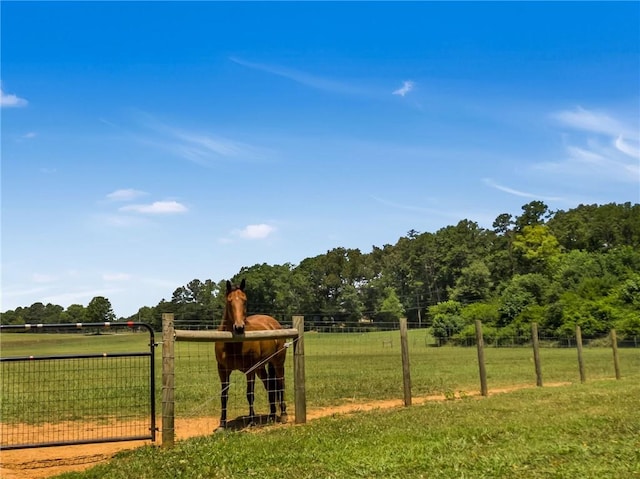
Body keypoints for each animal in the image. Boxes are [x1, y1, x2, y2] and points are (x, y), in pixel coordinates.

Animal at [214, 278, 286, 432]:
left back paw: (283, 415)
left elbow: (250, 394)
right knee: (270, 386)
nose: (239, 327)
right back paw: (272, 415)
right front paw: (222, 424)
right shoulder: (222, 370)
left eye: (245, 300)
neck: (233, 343)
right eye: (229, 301)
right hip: (261, 368)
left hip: (278, 363)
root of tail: (274, 323)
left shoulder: (250, 370)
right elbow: (224, 395)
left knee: (281, 383)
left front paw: (251, 421)